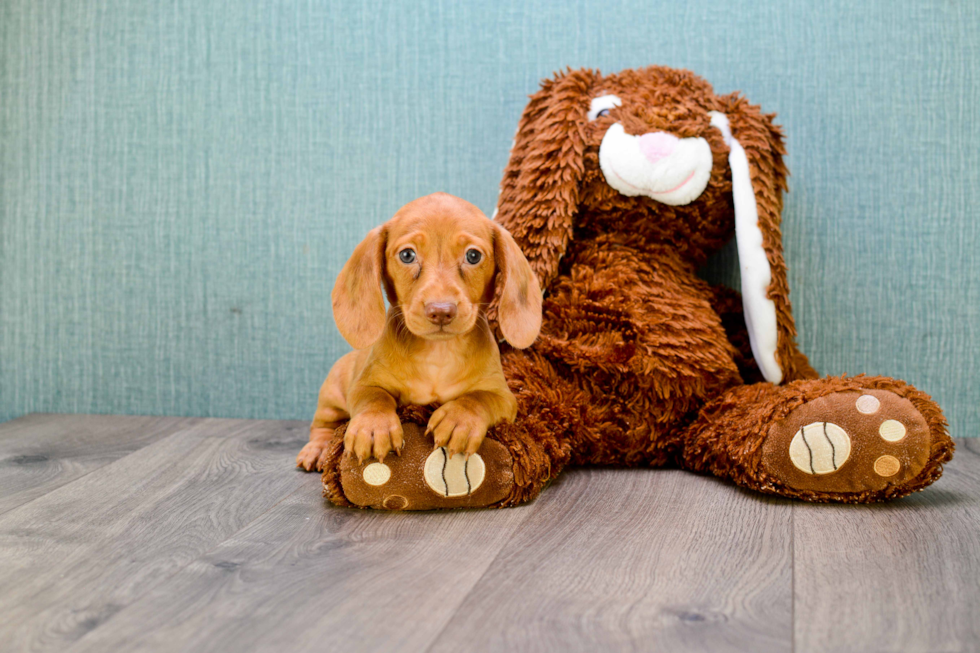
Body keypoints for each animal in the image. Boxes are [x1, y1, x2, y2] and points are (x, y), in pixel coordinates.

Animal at [298, 191, 544, 472]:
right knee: (323, 426)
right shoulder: (363, 384)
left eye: (473, 256)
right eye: (407, 255)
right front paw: (373, 425)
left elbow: (478, 399)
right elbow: (373, 398)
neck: (438, 353)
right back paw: (318, 448)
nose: (441, 311)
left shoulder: (504, 397)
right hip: (331, 394)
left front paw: (459, 418)